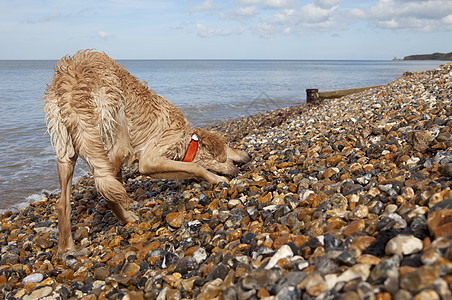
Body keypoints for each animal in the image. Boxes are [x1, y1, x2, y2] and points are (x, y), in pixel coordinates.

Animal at [42, 49, 251, 253]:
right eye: (228, 145)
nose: (248, 156)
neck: (188, 141)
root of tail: (70, 82)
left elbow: (189, 169)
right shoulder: (149, 160)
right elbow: (195, 167)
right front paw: (215, 179)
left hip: (67, 149)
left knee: (64, 202)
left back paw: (67, 248)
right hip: (114, 139)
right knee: (105, 189)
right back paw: (126, 218)